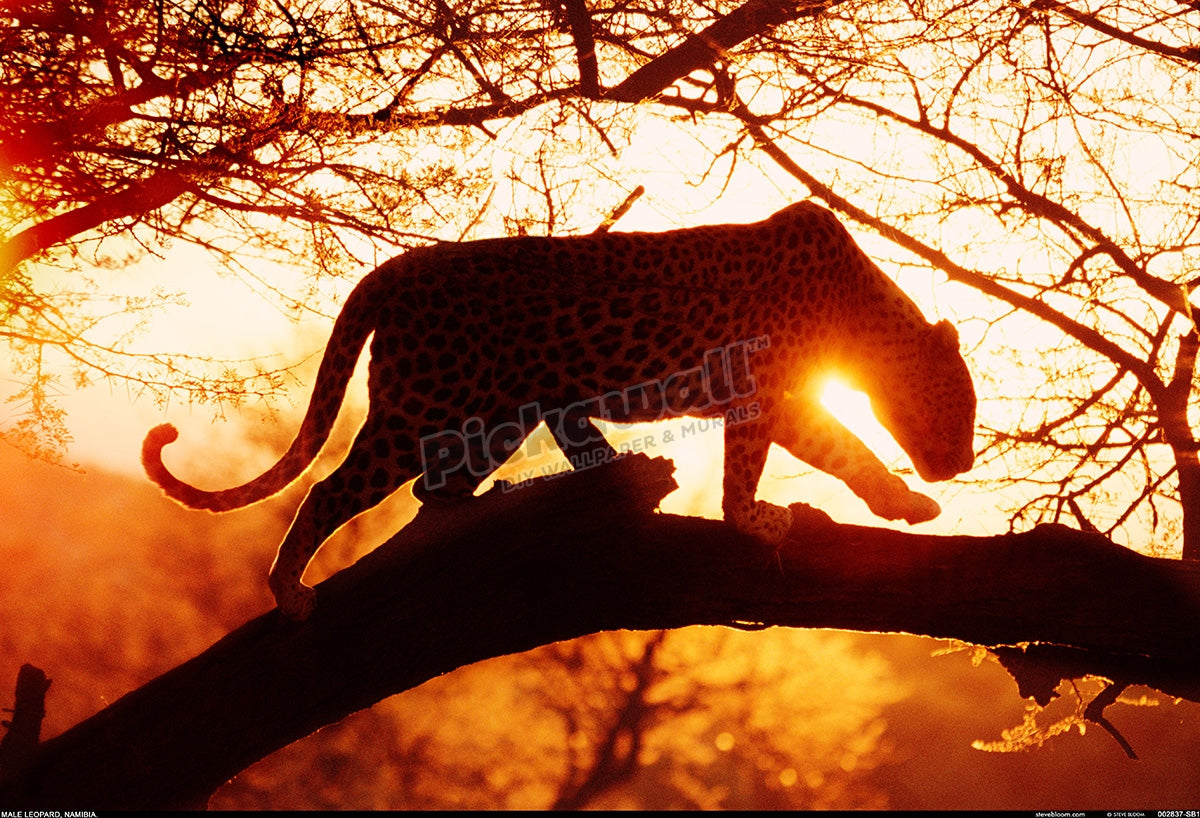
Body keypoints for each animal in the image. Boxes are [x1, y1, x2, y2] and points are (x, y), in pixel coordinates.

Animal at [142, 201, 976, 621]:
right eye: (963, 408)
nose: (963, 461)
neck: (865, 317)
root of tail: (398, 267)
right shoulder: (764, 391)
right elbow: (800, 453)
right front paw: (762, 519)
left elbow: (838, 447)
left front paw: (901, 504)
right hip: (421, 407)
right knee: (331, 489)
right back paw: (288, 590)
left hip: (494, 415)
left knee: (434, 488)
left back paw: (507, 499)